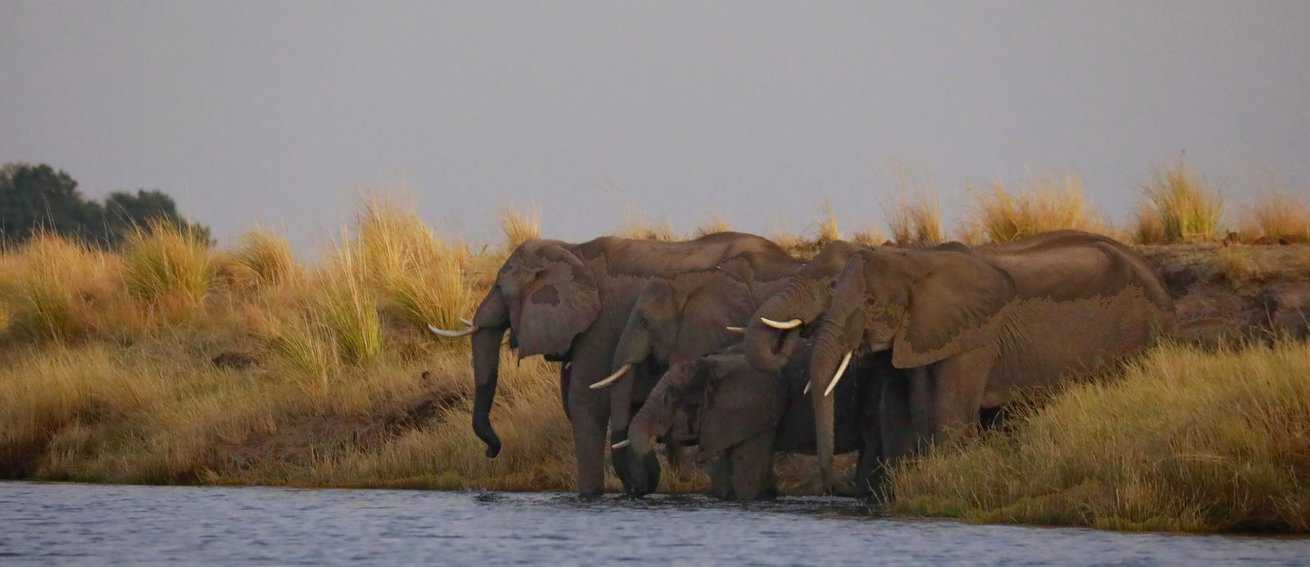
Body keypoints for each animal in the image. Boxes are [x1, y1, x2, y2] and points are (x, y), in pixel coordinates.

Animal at [427, 232, 797, 496]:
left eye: (500, 289)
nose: (491, 452)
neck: (571, 250)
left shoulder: (601, 324)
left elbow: (585, 401)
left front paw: (590, 495)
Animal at [745, 231, 1175, 492]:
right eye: (834, 290)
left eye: (867, 301)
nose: (834, 488)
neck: (913, 261)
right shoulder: (915, 335)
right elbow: (897, 416)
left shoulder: (974, 337)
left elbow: (948, 418)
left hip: (1143, 334)